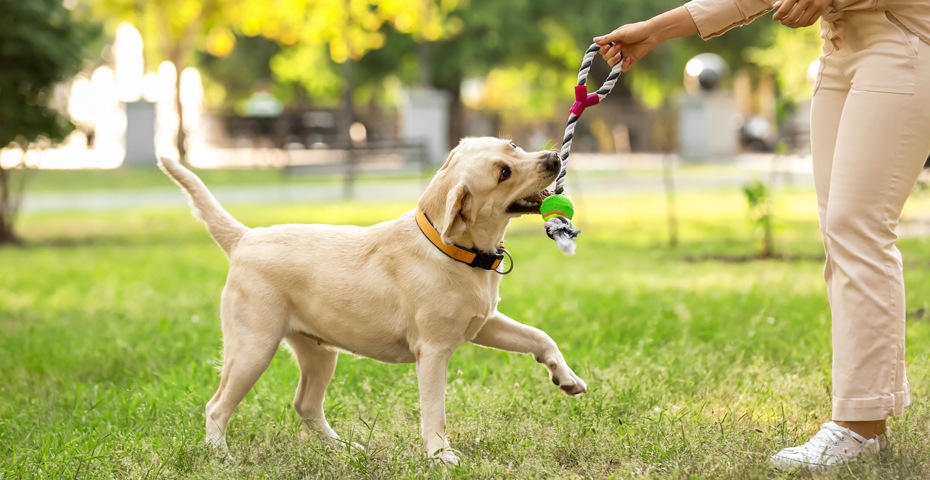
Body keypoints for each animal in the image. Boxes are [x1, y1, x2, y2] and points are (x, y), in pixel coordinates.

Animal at [157, 136, 584, 464]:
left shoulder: (485, 323)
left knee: (305, 405)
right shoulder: (433, 351)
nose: (553, 157)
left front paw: (567, 378)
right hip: (253, 348)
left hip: (319, 353)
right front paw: (440, 455)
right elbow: (435, 410)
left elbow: (540, 337)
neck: (451, 249)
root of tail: (244, 237)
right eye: (503, 174)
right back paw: (220, 455)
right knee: (217, 406)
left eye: (512, 146)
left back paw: (343, 449)